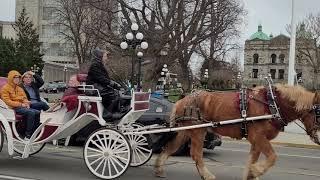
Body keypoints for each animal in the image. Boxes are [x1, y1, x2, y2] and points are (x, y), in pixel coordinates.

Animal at [154, 83, 318, 179]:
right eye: (319, 112)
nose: (318, 138)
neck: (272, 104)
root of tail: (181, 100)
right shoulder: (258, 136)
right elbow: (272, 157)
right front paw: (257, 171)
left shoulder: (257, 141)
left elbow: (252, 160)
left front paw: (251, 173)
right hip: (197, 131)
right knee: (196, 154)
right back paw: (207, 175)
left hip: (185, 131)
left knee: (170, 147)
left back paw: (159, 169)